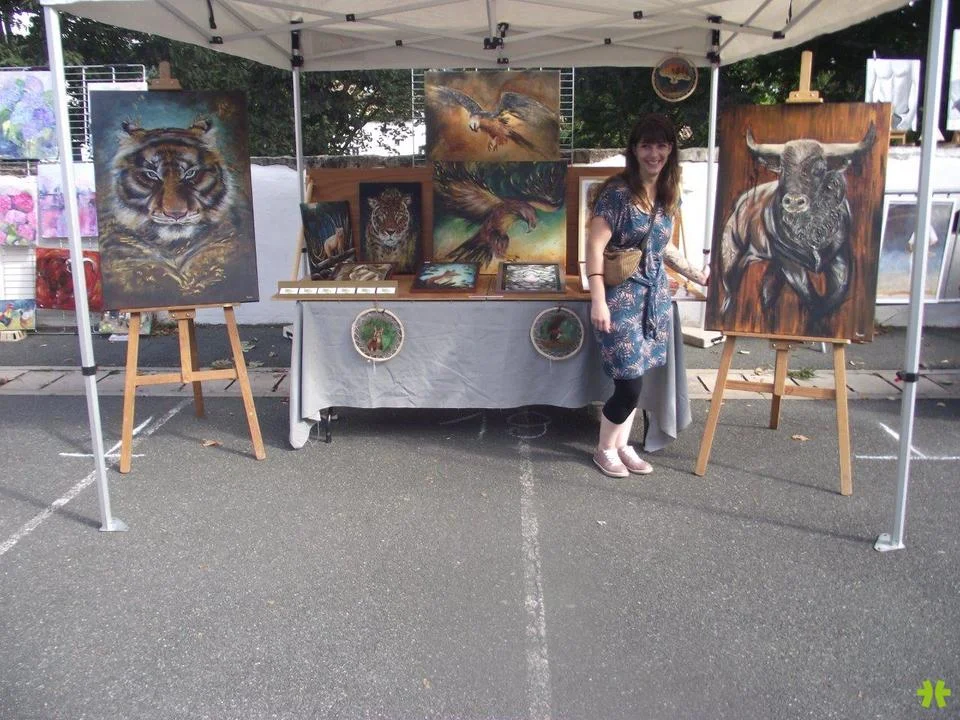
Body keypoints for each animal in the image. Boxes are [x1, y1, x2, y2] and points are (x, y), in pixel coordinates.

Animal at [718, 123, 877, 331]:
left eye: (819, 169)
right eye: (783, 169)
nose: (794, 201)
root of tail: (738, 206)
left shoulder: (840, 256)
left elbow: (834, 295)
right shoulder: (789, 263)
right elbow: (809, 295)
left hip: (773, 267)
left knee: (767, 291)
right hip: (731, 260)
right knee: (729, 293)